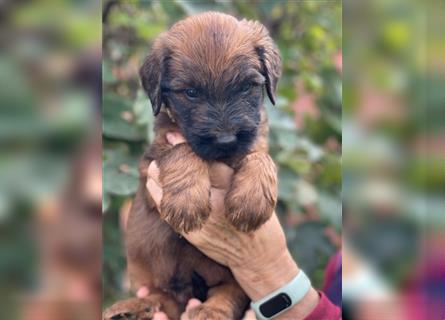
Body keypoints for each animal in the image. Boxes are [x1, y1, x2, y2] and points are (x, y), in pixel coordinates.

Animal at [118, 11, 280, 320]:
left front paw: (251, 202)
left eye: (246, 87)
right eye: (191, 92)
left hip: (229, 277)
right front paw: (187, 203)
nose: (226, 139)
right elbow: (181, 150)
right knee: (161, 297)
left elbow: (261, 158)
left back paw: (211, 311)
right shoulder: (149, 170)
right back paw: (130, 307)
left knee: (229, 292)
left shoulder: (254, 142)